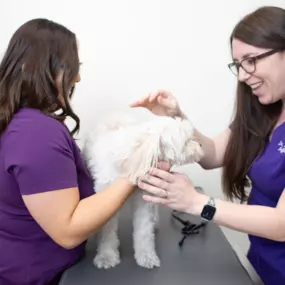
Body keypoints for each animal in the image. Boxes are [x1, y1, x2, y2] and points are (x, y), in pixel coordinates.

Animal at [81, 112, 203, 268]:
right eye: (187, 141)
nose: (200, 144)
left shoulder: (144, 199)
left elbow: (144, 231)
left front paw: (146, 256)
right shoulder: (105, 200)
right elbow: (107, 232)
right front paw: (106, 256)